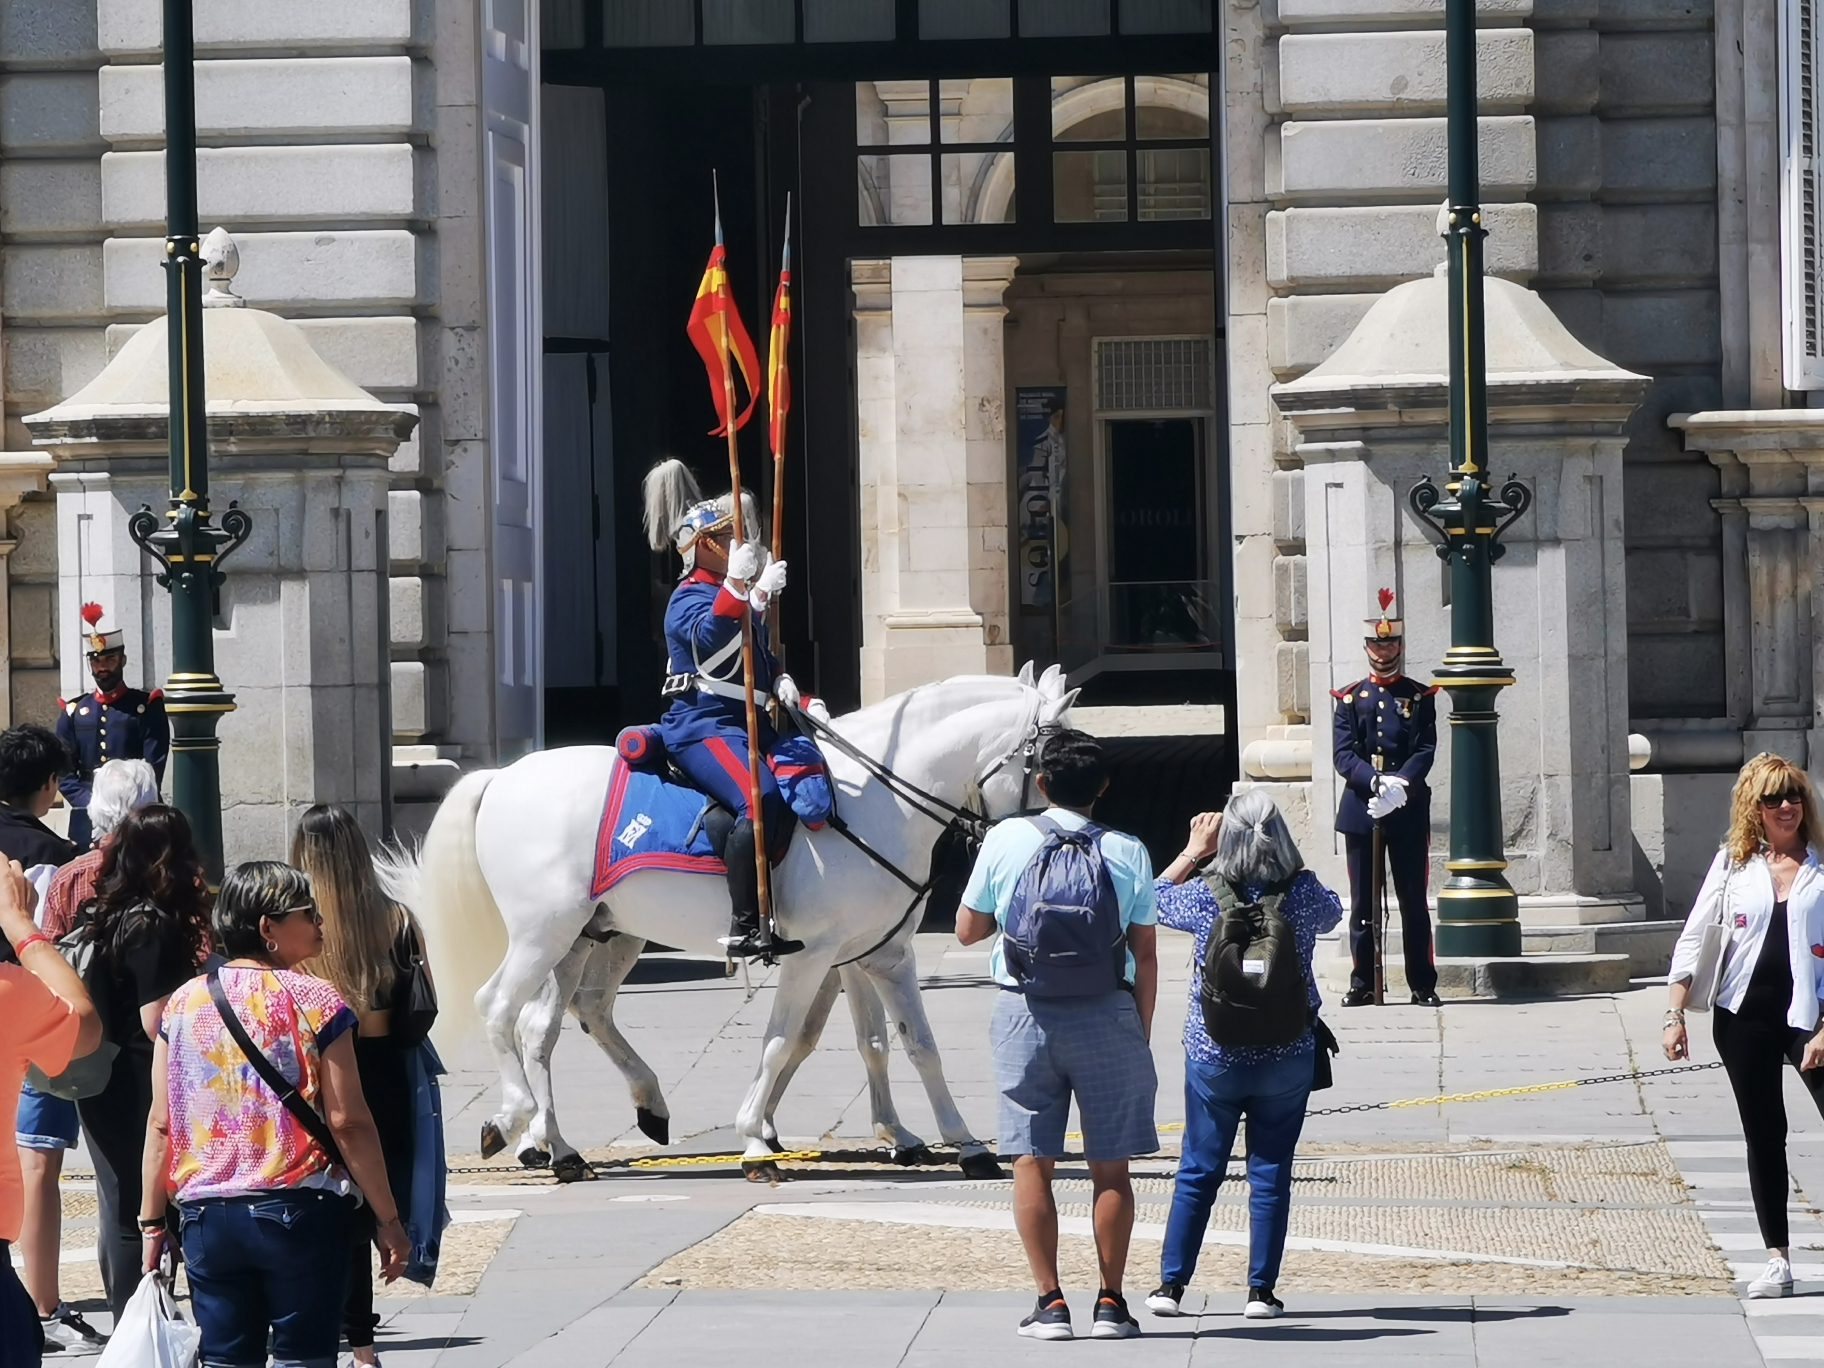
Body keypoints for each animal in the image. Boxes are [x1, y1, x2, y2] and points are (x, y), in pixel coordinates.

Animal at [392, 663, 1072, 1181]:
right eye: (1050, 761)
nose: (1054, 838)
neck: (875, 800)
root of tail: (503, 776)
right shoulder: (812, 956)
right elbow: (782, 1041)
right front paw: (753, 1139)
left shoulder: (880, 956)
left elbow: (912, 1046)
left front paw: (965, 1145)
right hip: (544, 932)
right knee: (498, 1008)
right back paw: (512, 1119)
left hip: (587, 934)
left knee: (548, 1025)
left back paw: (572, 1142)